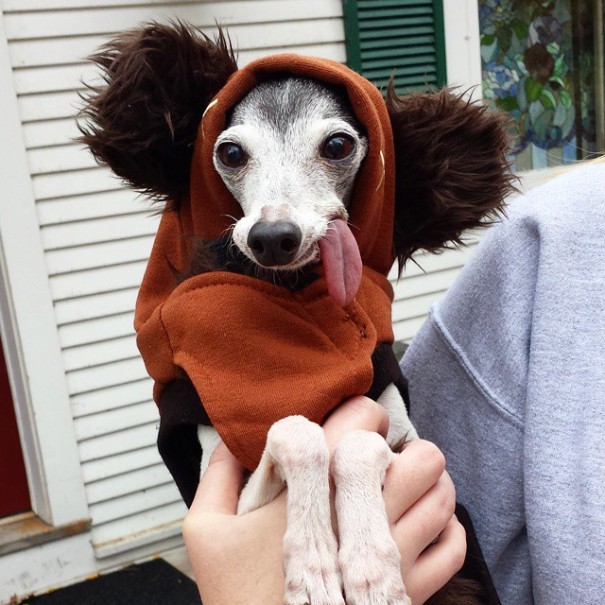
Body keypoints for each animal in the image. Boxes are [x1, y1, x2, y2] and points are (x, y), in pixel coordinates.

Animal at [79, 21, 516, 600]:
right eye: (230, 153)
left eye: (337, 144)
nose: (272, 237)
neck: (291, 318)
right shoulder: (225, 480)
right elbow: (297, 432)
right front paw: (312, 564)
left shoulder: (408, 446)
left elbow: (356, 444)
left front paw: (372, 567)